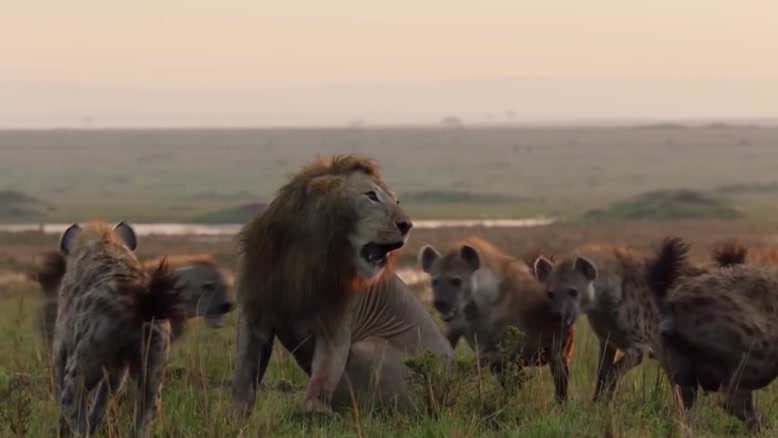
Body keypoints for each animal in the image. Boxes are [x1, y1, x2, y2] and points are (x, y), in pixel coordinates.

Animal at [230, 154, 455, 415]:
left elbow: (323, 377)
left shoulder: (335, 324)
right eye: (371, 196)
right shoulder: (254, 314)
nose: (407, 225)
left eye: (396, 200)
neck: (302, 256)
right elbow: (244, 375)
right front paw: (235, 415)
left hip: (368, 349)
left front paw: (317, 412)